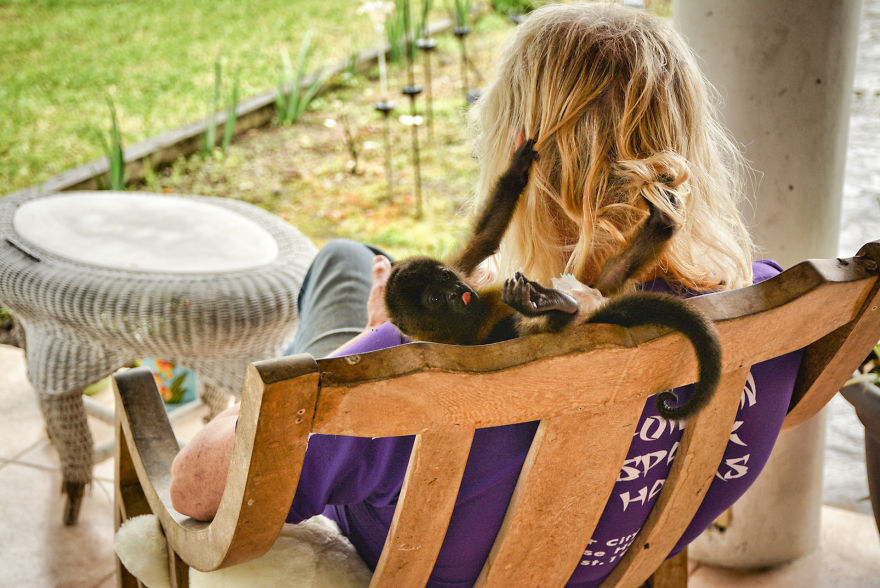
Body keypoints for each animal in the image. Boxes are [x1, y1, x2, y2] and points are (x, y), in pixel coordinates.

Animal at [383, 141, 721, 420]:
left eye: (444, 277)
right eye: (435, 299)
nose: (455, 292)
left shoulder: (460, 267)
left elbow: (486, 238)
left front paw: (516, 171)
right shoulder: (458, 345)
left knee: (612, 273)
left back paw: (660, 224)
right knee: (529, 325)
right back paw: (558, 306)